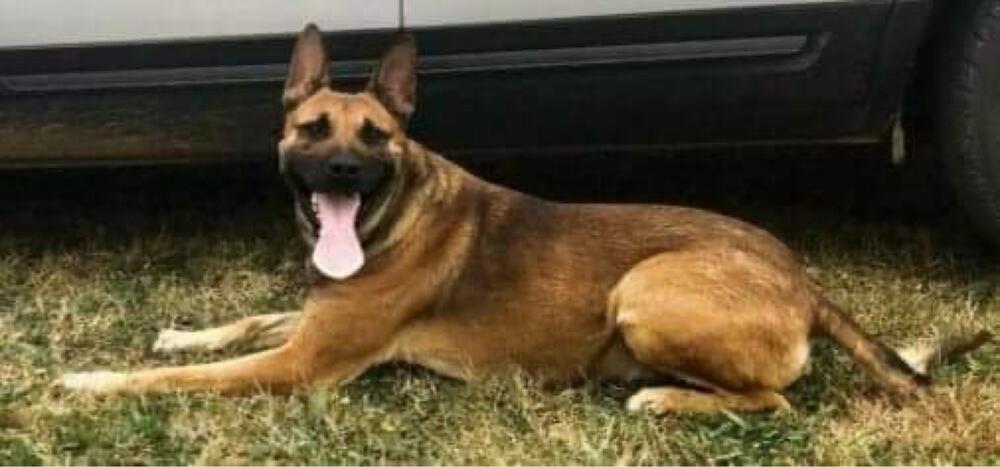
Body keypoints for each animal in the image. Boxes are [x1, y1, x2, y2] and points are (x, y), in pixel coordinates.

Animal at [58, 24, 988, 414]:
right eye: (313, 128)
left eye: (378, 136)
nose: (345, 171)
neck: (394, 212)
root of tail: (804, 281)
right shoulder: (315, 318)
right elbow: (244, 320)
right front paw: (181, 332)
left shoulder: (300, 365)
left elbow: (179, 378)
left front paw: (89, 382)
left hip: (643, 291)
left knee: (773, 402)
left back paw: (661, 398)